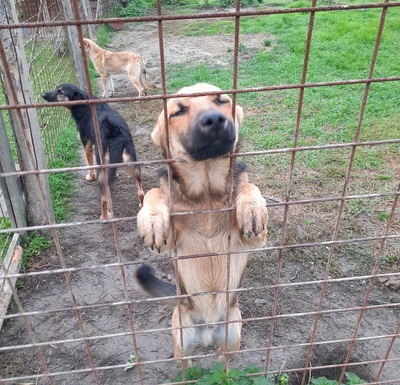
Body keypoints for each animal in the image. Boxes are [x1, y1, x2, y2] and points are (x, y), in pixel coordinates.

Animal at [41, 83, 144, 219]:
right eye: (56, 88)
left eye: (60, 92)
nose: (43, 94)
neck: (83, 104)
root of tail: (113, 133)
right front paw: (116, 174)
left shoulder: (87, 146)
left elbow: (90, 165)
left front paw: (90, 176)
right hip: (132, 163)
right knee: (141, 191)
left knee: (104, 199)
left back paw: (104, 216)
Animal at [135, 83, 268, 366]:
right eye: (178, 112)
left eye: (222, 101)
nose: (215, 120)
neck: (206, 194)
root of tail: (207, 331)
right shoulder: (171, 240)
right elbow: (155, 191)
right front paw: (152, 218)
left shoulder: (253, 238)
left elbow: (248, 185)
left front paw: (251, 206)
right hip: (180, 340)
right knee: (186, 364)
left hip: (234, 334)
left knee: (223, 361)